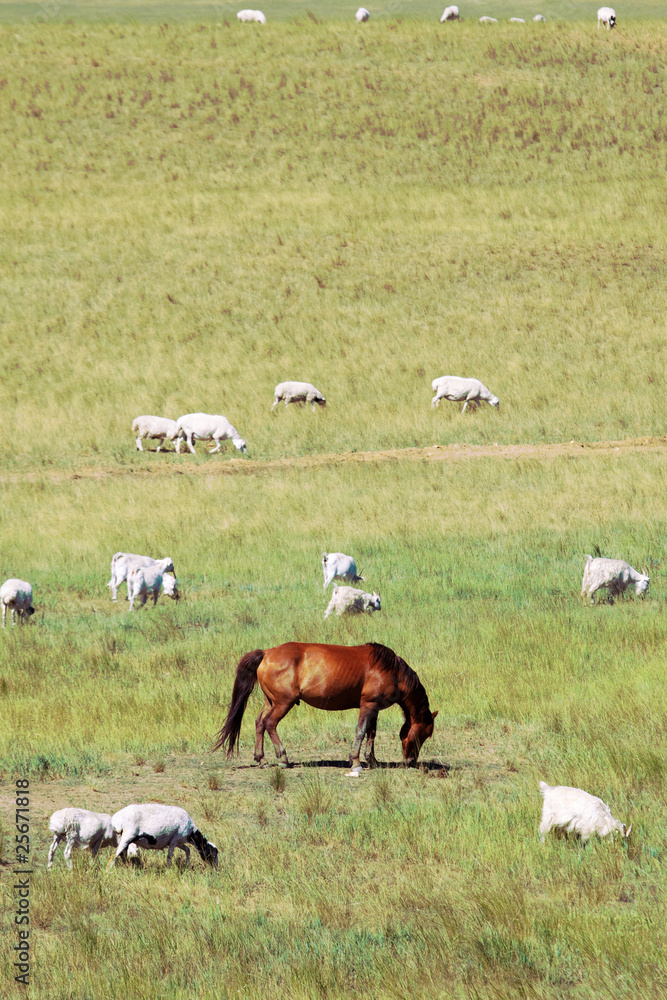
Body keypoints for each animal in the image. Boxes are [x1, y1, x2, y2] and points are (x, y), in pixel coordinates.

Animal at [213, 641, 438, 771]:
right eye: (423, 734)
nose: (411, 762)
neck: (390, 669)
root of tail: (267, 653)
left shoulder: (374, 708)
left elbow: (371, 733)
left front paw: (371, 760)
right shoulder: (367, 705)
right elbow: (361, 731)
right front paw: (356, 762)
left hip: (271, 702)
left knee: (260, 723)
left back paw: (261, 759)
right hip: (283, 703)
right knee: (270, 724)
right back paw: (283, 758)